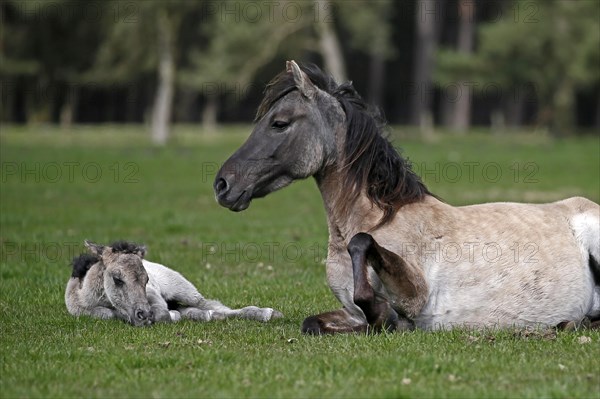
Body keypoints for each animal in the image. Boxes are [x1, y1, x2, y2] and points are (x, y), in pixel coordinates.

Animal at [65, 242, 284, 326]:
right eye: (117, 279)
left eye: (146, 280)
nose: (143, 314)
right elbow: (108, 314)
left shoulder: (153, 295)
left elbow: (163, 313)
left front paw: (169, 316)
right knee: (202, 310)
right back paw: (206, 316)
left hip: (183, 290)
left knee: (211, 304)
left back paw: (266, 313)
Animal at [214, 60, 600, 334]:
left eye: (279, 123)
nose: (223, 185)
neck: (377, 217)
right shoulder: (348, 312)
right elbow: (315, 323)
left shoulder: (415, 293)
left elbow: (363, 250)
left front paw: (391, 319)